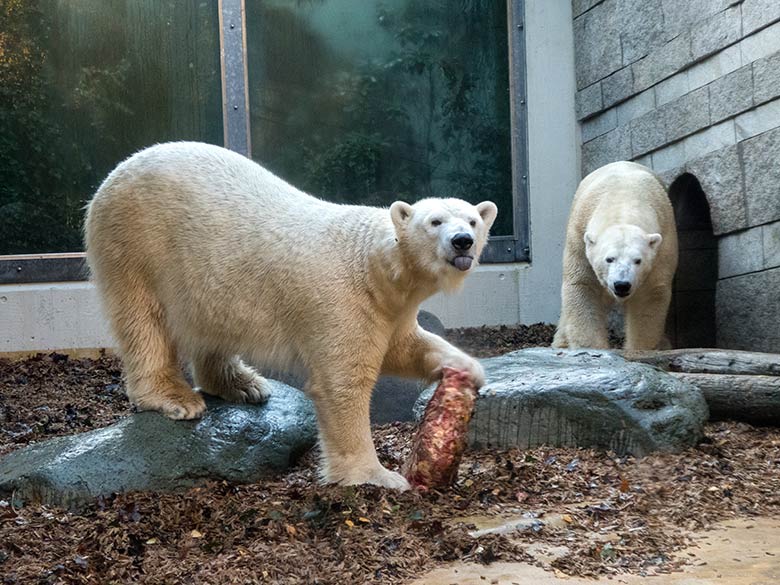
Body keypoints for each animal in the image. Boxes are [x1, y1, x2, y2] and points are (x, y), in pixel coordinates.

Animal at [84, 141, 500, 488]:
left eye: (473, 221)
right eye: (435, 222)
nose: (462, 241)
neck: (369, 264)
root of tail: (114, 174)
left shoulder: (390, 307)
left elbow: (406, 346)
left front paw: (468, 368)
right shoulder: (341, 299)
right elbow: (343, 383)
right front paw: (377, 476)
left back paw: (244, 384)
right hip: (134, 242)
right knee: (143, 319)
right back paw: (175, 396)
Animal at [556, 161, 676, 352]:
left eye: (638, 260)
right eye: (609, 259)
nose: (622, 285)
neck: (622, 201)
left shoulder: (663, 242)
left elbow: (649, 295)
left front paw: (639, 349)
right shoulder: (579, 236)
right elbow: (583, 285)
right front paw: (591, 348)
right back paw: (561, 342)